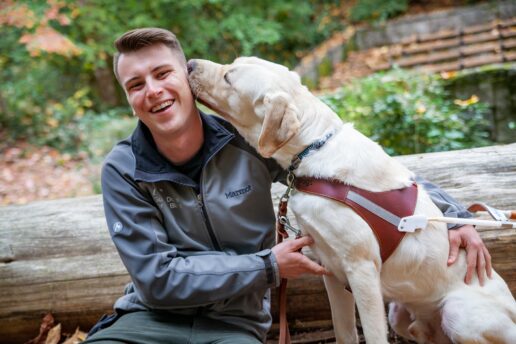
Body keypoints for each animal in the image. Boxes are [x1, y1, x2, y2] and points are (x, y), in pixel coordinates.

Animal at [188, 57, 516, 344]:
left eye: (229, 77)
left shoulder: (362, 271)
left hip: (457, 314)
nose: (190, 63)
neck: (314, 146)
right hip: (400, 313)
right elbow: (344, 332)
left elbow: (372, 336)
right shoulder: (331, 271)